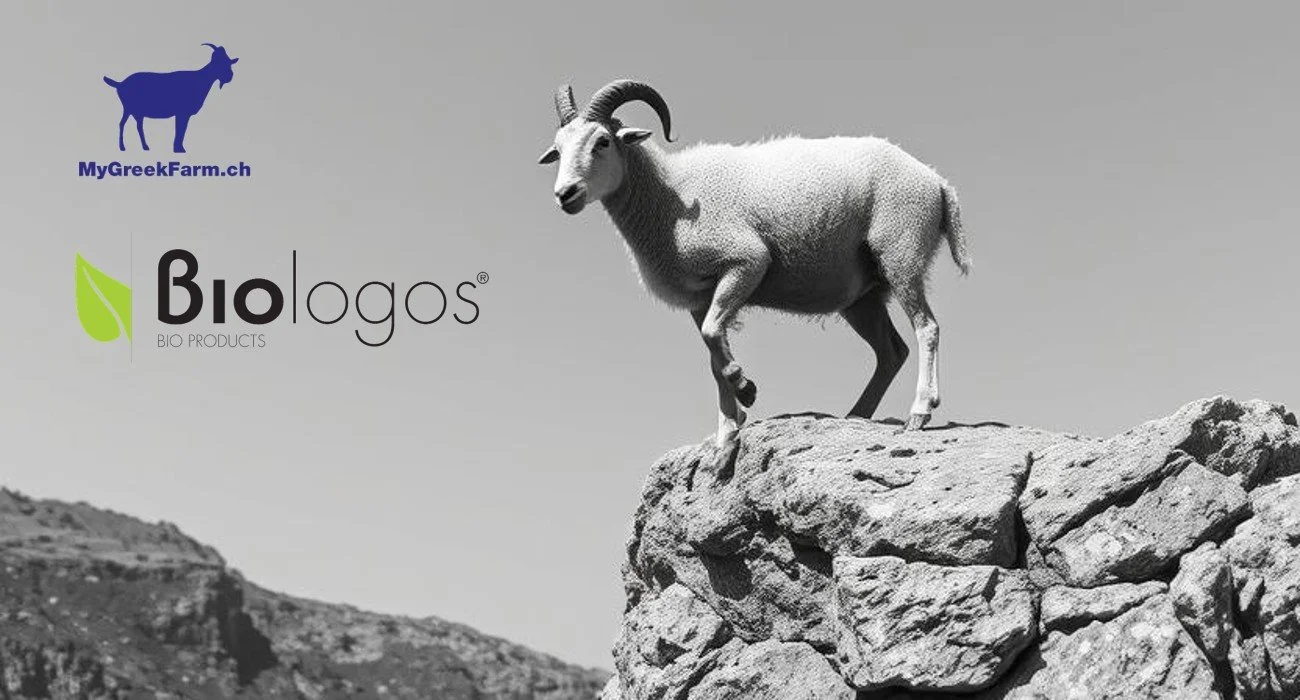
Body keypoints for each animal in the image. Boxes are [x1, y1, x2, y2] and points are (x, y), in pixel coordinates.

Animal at [103, 44, 239, 153]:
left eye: (228, 61)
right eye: (217, 61)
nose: (229, 76)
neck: (199, 80)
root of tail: (120, 83)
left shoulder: (184, 114)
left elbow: (182, 130)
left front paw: (179, 148)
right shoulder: (182, 113)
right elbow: (180, 130)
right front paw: (178, 149)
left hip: (138, 112)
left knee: (138, 126)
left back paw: (145, 147)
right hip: (128, 108)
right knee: (122, 124)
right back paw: (122, 147)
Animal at [538, 80, 970, 446]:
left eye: (603, 141)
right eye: (557, 150)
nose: (565, 194)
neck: (670, 193)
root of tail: (936, 181)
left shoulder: (747, 261)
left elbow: (714, 335)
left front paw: (746, 391)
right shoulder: (700, 296)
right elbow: (712, 353)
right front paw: (727, 432)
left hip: (901, 252)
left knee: (926, 327)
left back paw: (919, 413)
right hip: (861, 295)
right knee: (892, 352)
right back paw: (856, 414)